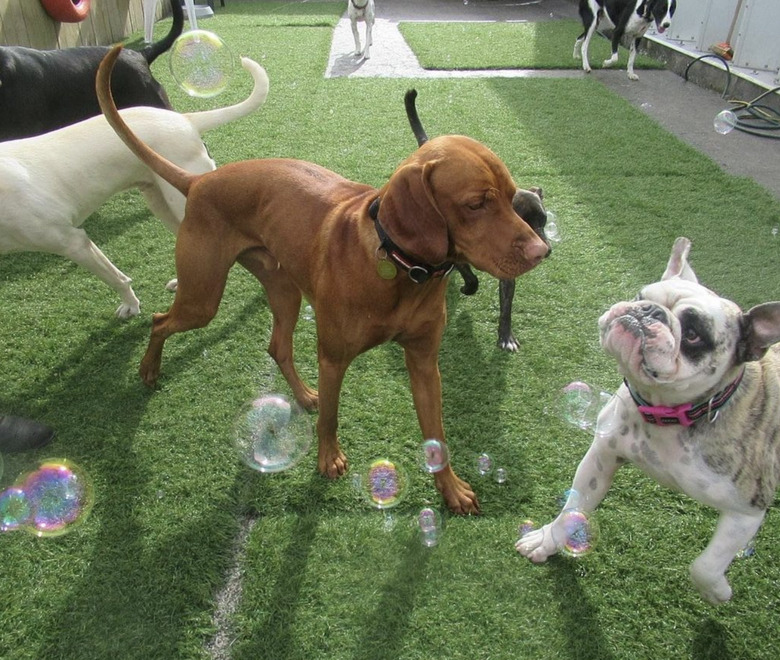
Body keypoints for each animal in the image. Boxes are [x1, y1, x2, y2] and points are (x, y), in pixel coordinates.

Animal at [406, 91, 552, 356]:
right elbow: (471, 278)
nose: (545, 250)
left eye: (544, 221)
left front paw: (506, 336)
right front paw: (467, 287)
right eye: (523, 222)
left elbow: (506, 306)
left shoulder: (508, 273)